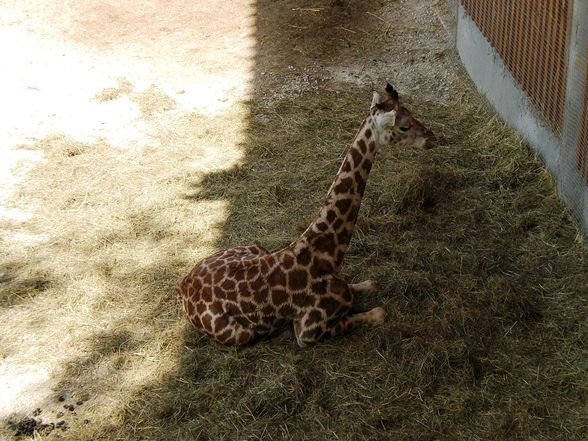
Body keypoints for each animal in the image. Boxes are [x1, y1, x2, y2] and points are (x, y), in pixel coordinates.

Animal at [176, 81, 436, 344]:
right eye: (404, 126)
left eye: (412, 112)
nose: (432, 138)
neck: (326, 254)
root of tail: (184, 286)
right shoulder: (307, 330)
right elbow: (377, 313)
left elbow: (367, 285)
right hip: (242, 334)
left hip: (255, 246)